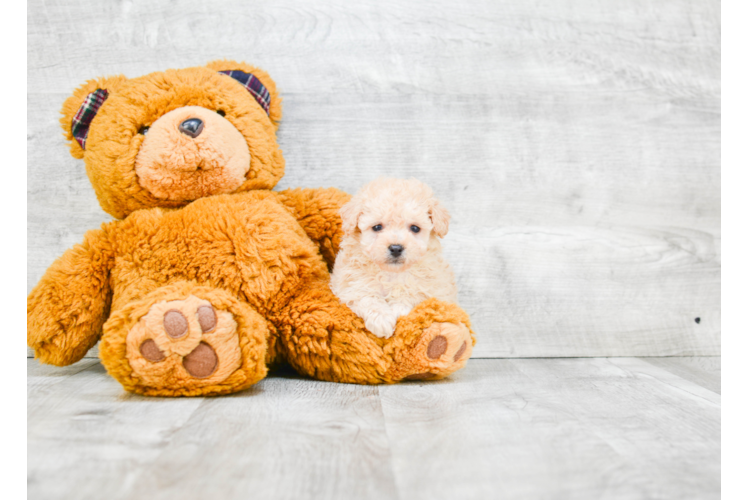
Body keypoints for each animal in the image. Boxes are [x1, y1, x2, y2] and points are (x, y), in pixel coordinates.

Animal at [332, 178, 458, 338]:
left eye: (415, 228)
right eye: (377, 227)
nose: (396, 248)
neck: (392, 273)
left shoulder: (431, 288)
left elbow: (410, 293)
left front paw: (397, 311)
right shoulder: (352, 284)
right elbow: (368, 297)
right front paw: (382, 320)